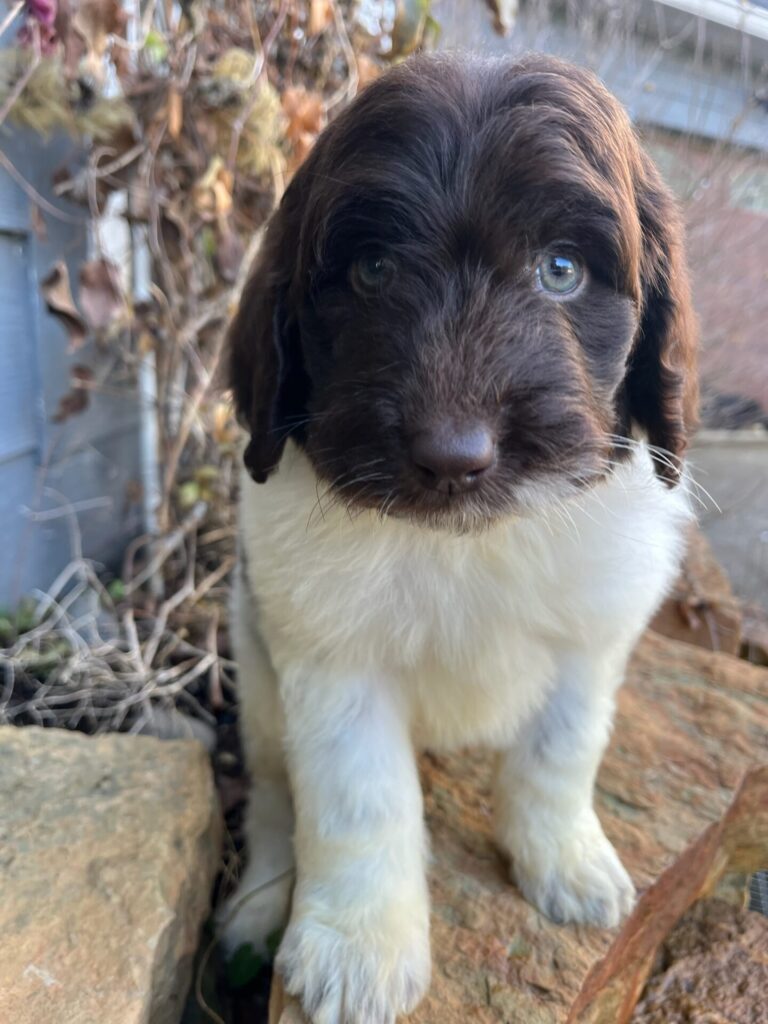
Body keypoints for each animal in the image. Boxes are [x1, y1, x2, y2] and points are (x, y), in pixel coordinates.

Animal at [221, 52, 698, 1024]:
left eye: (562, 270)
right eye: (370, 271)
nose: (453, 456)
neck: (469, 542)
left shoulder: (594, 638)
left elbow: (562, 750)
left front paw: (564, 859)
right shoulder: (331, 663)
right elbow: (357, 804)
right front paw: (358, 950)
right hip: (256, 680)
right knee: (277, 801)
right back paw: (259, 906)